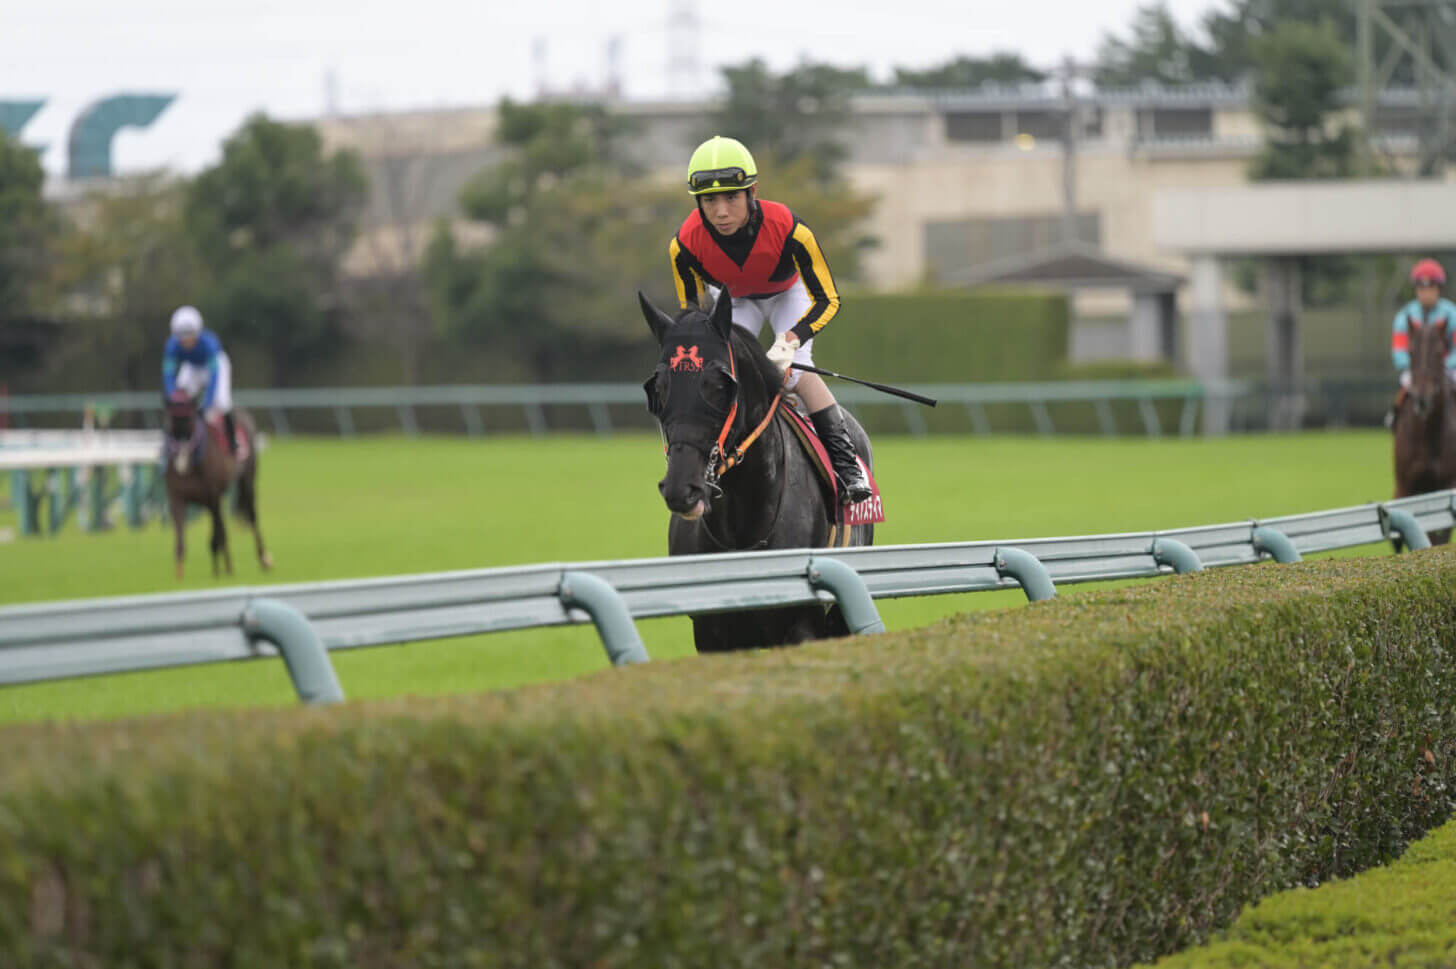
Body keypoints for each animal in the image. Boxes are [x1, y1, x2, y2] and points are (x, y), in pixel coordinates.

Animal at [163, 387, 272, 581]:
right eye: (170, 421)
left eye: (189, 419)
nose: (180, 459)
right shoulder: (178, 498)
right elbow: (181, 540)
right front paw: (179, 575)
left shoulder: (213, 496)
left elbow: (219, 533)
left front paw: (227, 569)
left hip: (247, 479)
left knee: (251, 516)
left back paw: (263, 559)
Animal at [640, 286, 873, 648]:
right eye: (659, 387)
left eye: (721, 386)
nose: (682, 488)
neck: (742, 525)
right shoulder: (710, 631)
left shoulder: (802, 624)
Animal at [1386, 315, 1456, 544]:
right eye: (1411, 352)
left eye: (1440, 351)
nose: (1422, 399)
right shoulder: (1406, 485)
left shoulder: (1447, 485)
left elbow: (1440, 535)